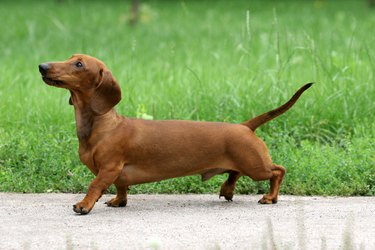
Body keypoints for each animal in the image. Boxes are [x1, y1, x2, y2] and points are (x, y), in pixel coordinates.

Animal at [39, 54, 312, 215]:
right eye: (71, 57)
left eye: (79, 64)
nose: (42, 65)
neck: (102, 125)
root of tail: (244, 126)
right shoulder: (117, 173)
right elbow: (121, 187)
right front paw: (118, 201)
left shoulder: (109, 167)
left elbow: (95, 185)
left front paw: (84, 205)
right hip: (246, 162)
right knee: (235, 173)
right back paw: (227, 189)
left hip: (255, 166)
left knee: (278, 171)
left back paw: (270, 197)